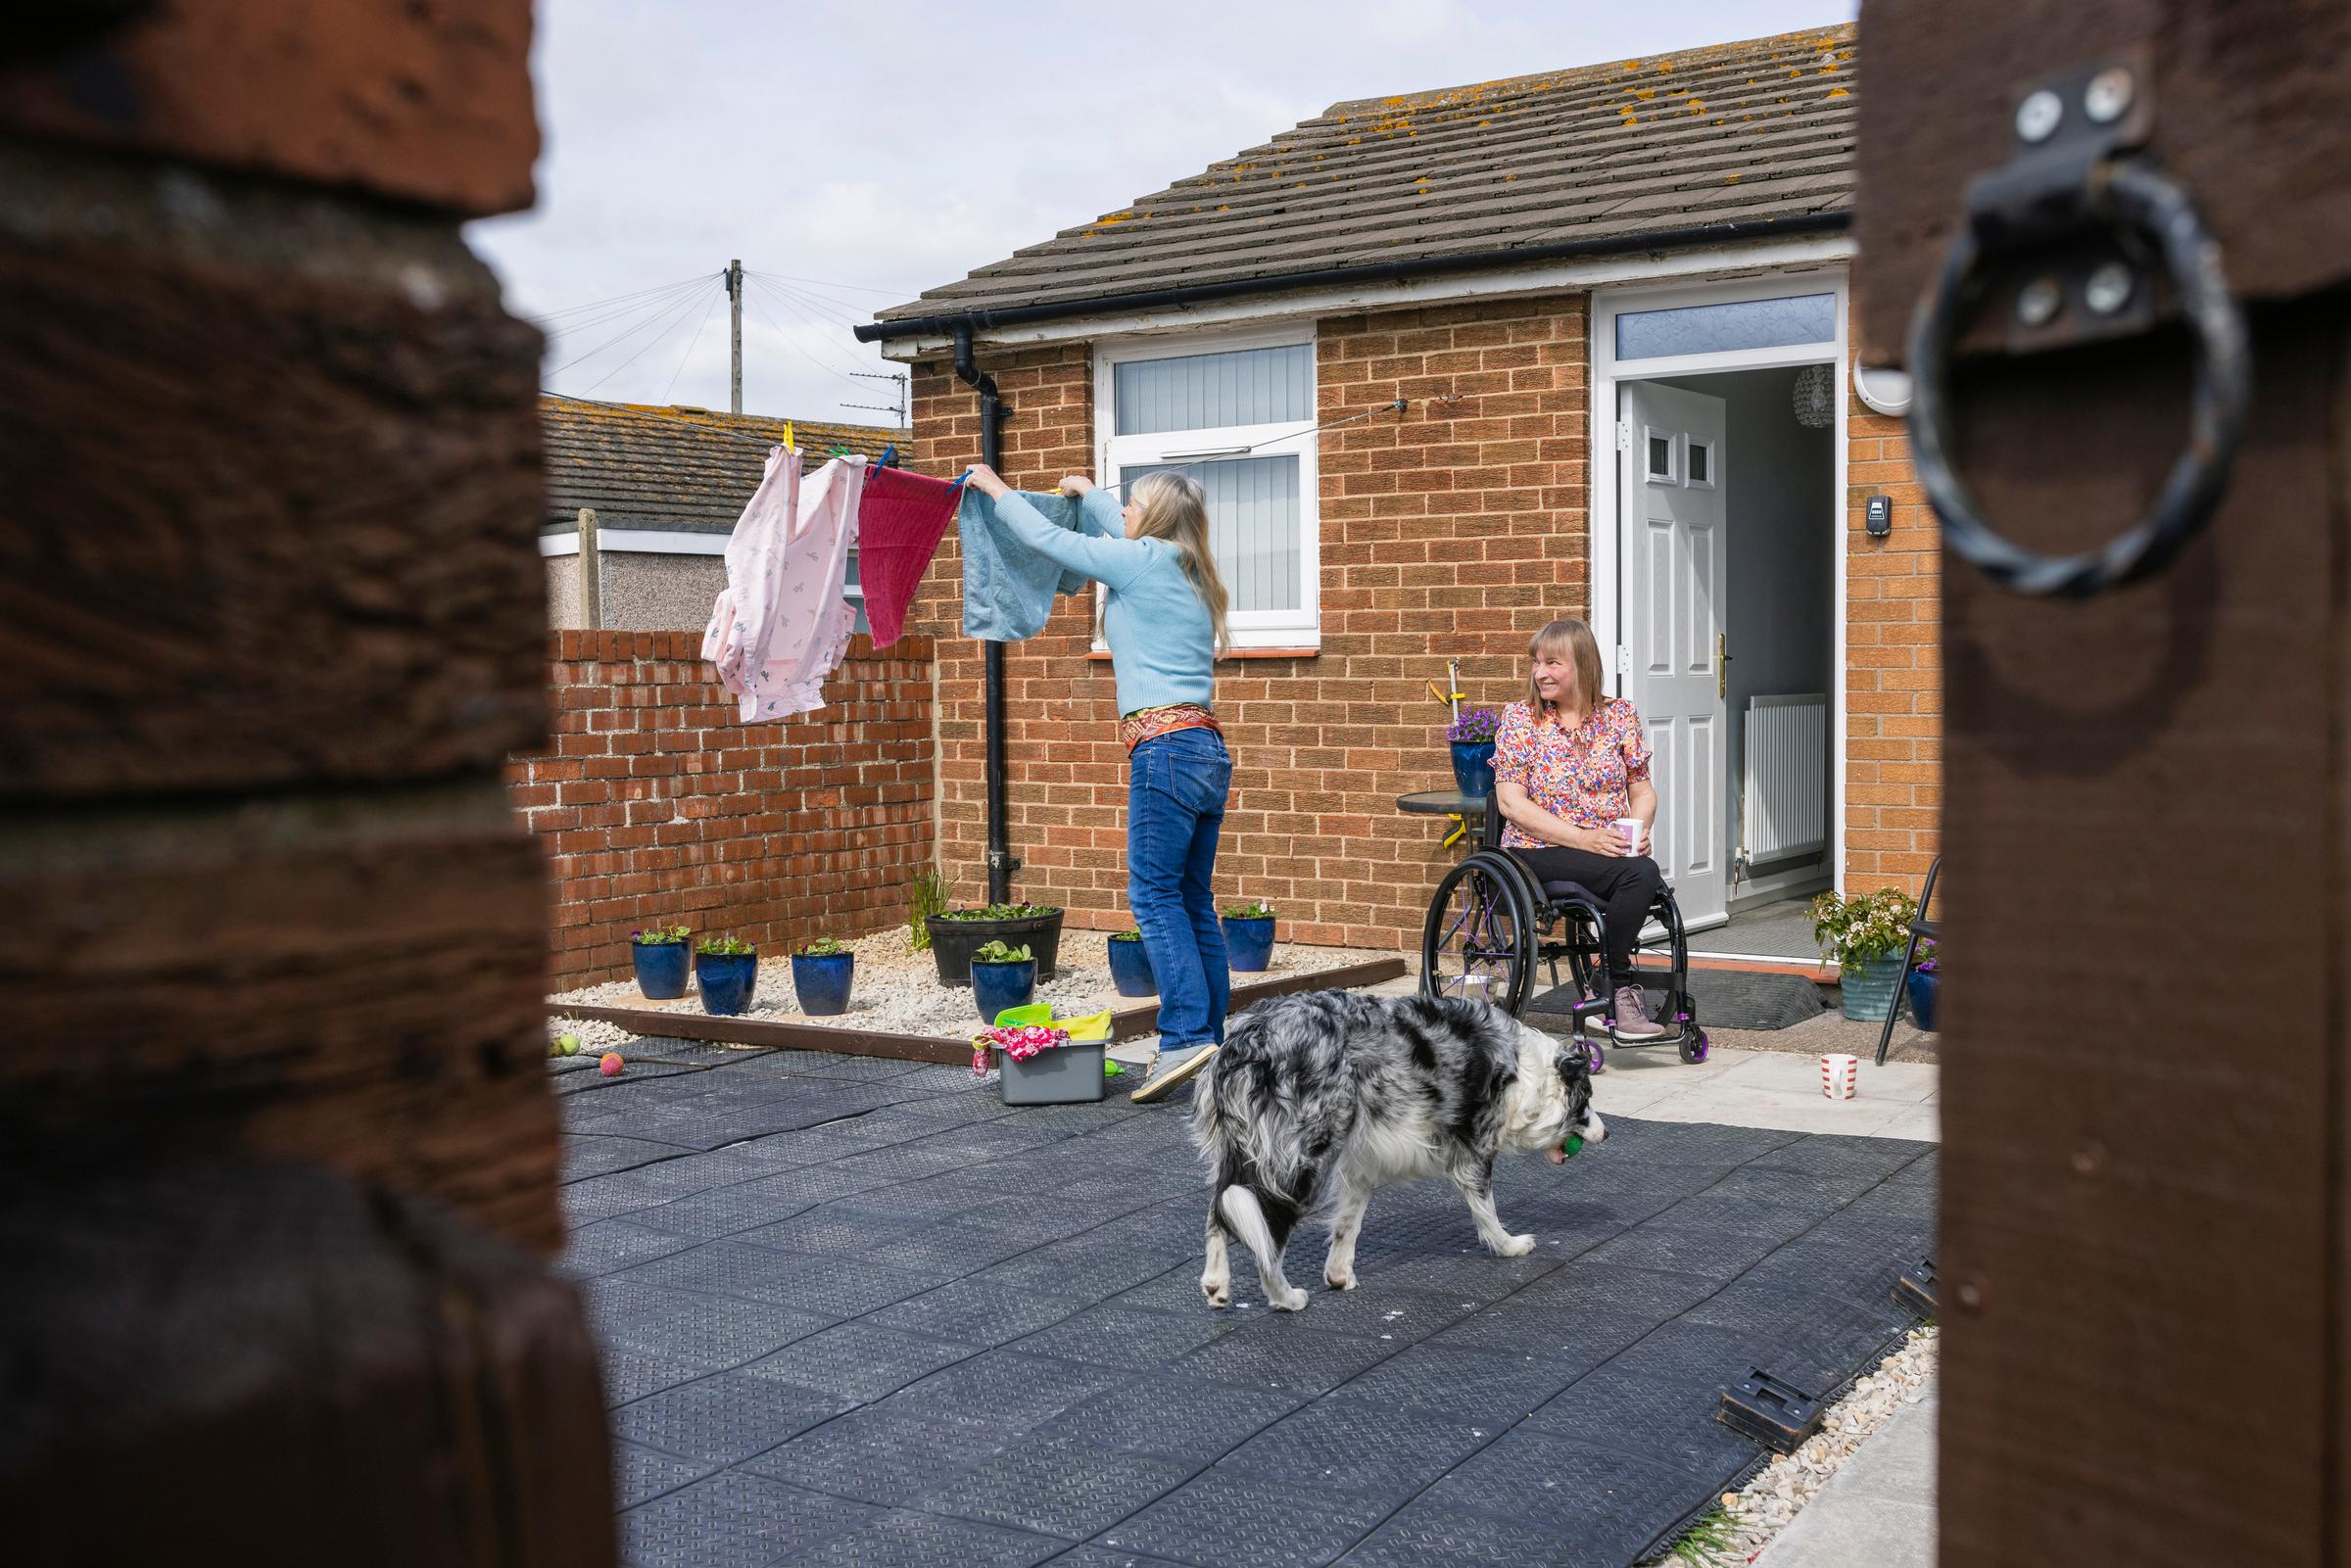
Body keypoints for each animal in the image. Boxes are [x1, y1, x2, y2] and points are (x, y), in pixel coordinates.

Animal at [1194, 991, 1599, 1316]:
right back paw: (1285, 1298)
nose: (1606, 1132)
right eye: (1587, 1100)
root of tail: (1250, 1039)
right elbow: (1487, 1212)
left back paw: (1216, 1284)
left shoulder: (1361, 1168)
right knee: (1269, 1238)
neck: (1529, 1076)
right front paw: (1509, 1245)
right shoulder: (1473, 1154)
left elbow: (1347, 1226)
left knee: (1218, 1215)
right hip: (1300, 1163)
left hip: (1237, 1158)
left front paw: (1339, 1275)